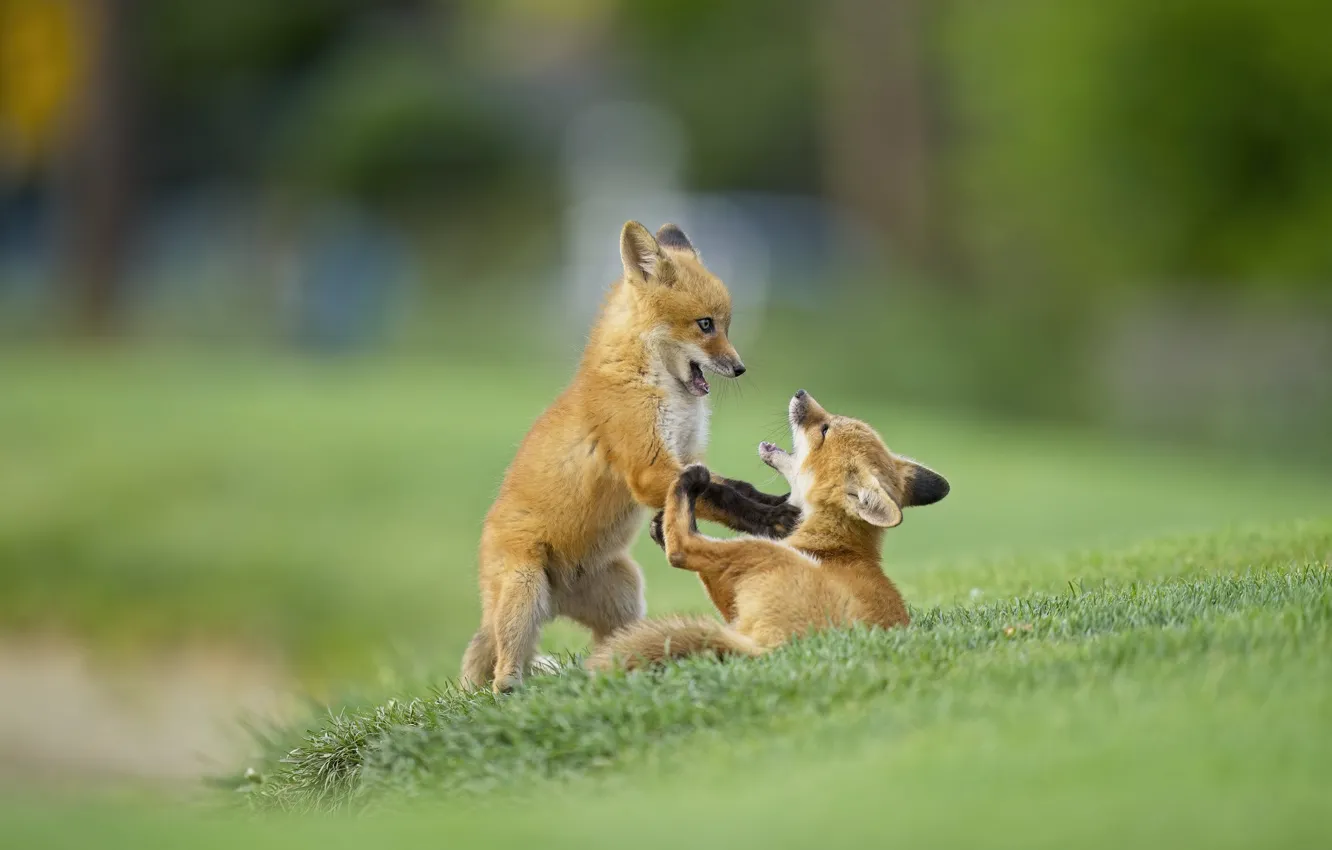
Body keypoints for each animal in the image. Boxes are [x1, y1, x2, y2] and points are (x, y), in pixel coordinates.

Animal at [461, 221, 801, 692]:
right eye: (706, 324)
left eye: (727, 326)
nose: (740, 368)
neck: (650, 380)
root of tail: (555, 602)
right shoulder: (649, 469)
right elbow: (723, 496)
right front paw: (771, 521)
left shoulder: (685, 457)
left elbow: (732, 486)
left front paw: (774, 502)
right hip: (523, 591)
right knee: (502, 672)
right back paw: (513, 689)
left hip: (624, 590)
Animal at [586, 389, 950, 671]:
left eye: (824, 430)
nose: (801, 393)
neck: (831, 544)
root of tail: (778, 649)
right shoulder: (734, 607)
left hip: (758, 550)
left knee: (682, 550)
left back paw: (688, 483)